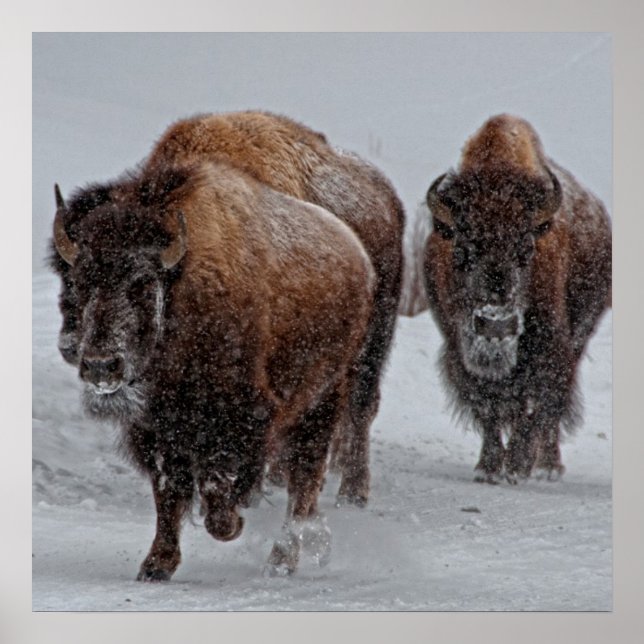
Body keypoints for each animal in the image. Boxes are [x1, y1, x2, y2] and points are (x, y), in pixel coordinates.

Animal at [51, 160, 374, 578]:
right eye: (78, 282)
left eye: (142, 283)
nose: (100, 366)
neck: (182, 287)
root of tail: (358, 256)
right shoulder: (157, 431)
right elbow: (168, 494)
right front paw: (155, 567)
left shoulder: (242, 420)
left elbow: (220, 487)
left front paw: (229, 524)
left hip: (320, 404)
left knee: (304, 483)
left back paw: (281, 561)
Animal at [423, 114, 611, 483]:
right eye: (461, 251)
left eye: (526, 249)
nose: (496, 326)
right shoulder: (458, 348)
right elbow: (487, 405)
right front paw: (488, 467)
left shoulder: (551, 347)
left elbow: (535, 404)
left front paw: (517, 466)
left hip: (579, 338)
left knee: (550, 412)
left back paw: (548, 466)